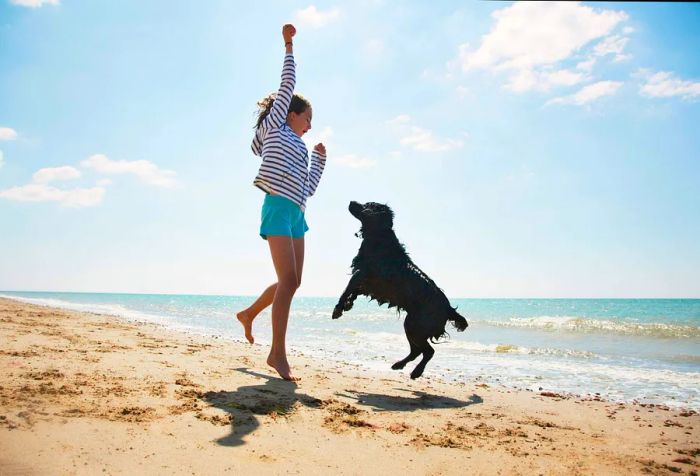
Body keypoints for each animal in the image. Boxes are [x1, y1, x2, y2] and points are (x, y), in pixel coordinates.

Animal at [330, 201, 468, 380]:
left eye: (366, 204)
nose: (351, 202)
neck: (379, 235)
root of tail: (448, 308)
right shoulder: (365, 280)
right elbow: (353, 292)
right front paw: (348, 305)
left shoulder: (361, 272)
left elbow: (346, 289)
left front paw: (338, 308)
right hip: (412, 325)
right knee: (417, 351)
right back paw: (399, 364)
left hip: (415, 325)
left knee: (428, 351)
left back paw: (416, 372)